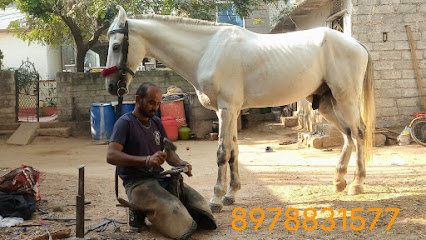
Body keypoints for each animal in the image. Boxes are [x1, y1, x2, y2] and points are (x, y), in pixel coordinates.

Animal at [105, 5, 374, 212]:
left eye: (116, 46)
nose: (110, 86)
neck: (208, 50)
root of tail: (356, 43)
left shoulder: (226, 110)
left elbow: (222, 152)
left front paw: (216, 199)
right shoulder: (229, 112)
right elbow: (234, 150)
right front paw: (231, 194)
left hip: (346, 99)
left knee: (359, 132)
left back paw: (357, 184)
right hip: (328, 102)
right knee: (348, 134)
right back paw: (339, 180)